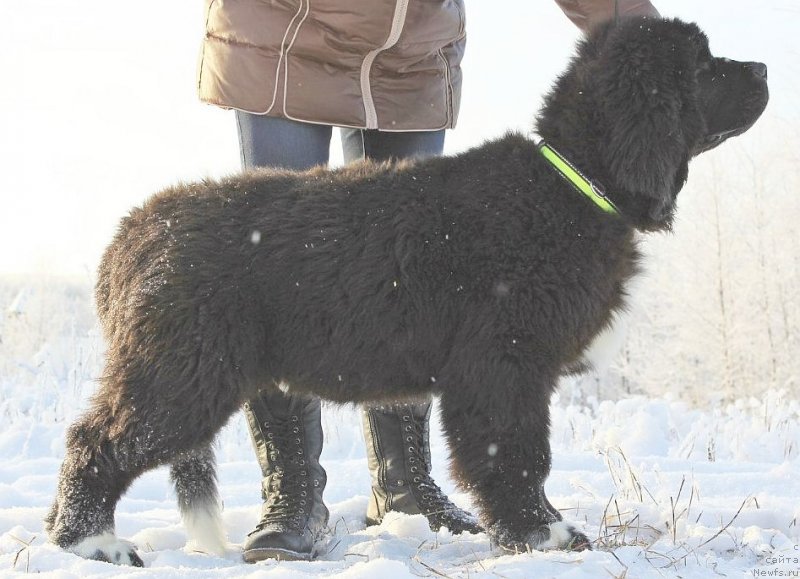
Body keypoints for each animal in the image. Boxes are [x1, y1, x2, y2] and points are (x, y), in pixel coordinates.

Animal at [45, 18, 768, 568]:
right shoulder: (503, 363)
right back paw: (93, 543)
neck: (569, 182)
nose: (763, 67)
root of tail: (133, 231)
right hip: (183, 367)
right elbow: (518, 453)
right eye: (703, 64)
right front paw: (545, 534)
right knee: (97, 439)